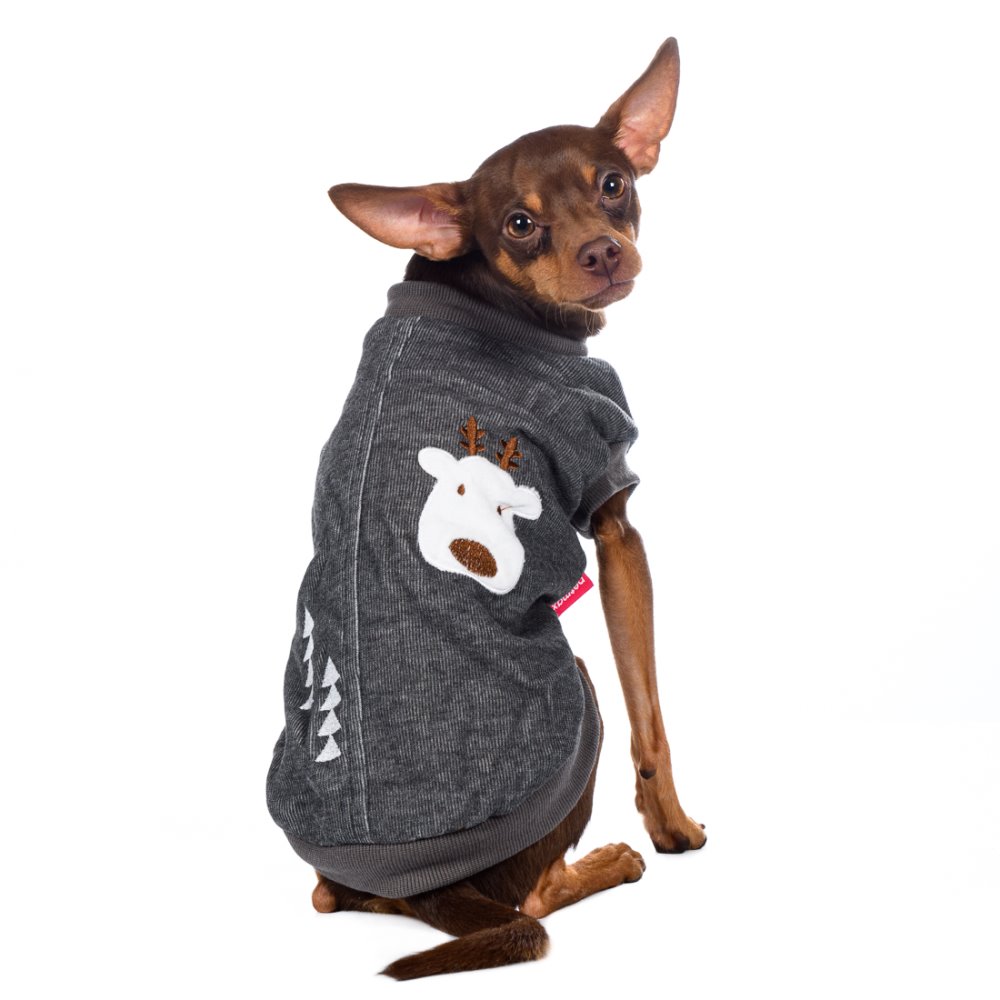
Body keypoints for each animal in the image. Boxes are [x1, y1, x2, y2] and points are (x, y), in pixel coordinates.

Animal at [265, 37, 704, 980]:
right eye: (519, 224)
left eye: (613, 182)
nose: (602, 252)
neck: (499, 298)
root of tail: (424, 894)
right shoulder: (616, 520)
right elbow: (652, 711)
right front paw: (674, 826)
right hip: (579, 694)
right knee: (533, 901)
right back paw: (611, 860)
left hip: (339, 885)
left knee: (329, 898)